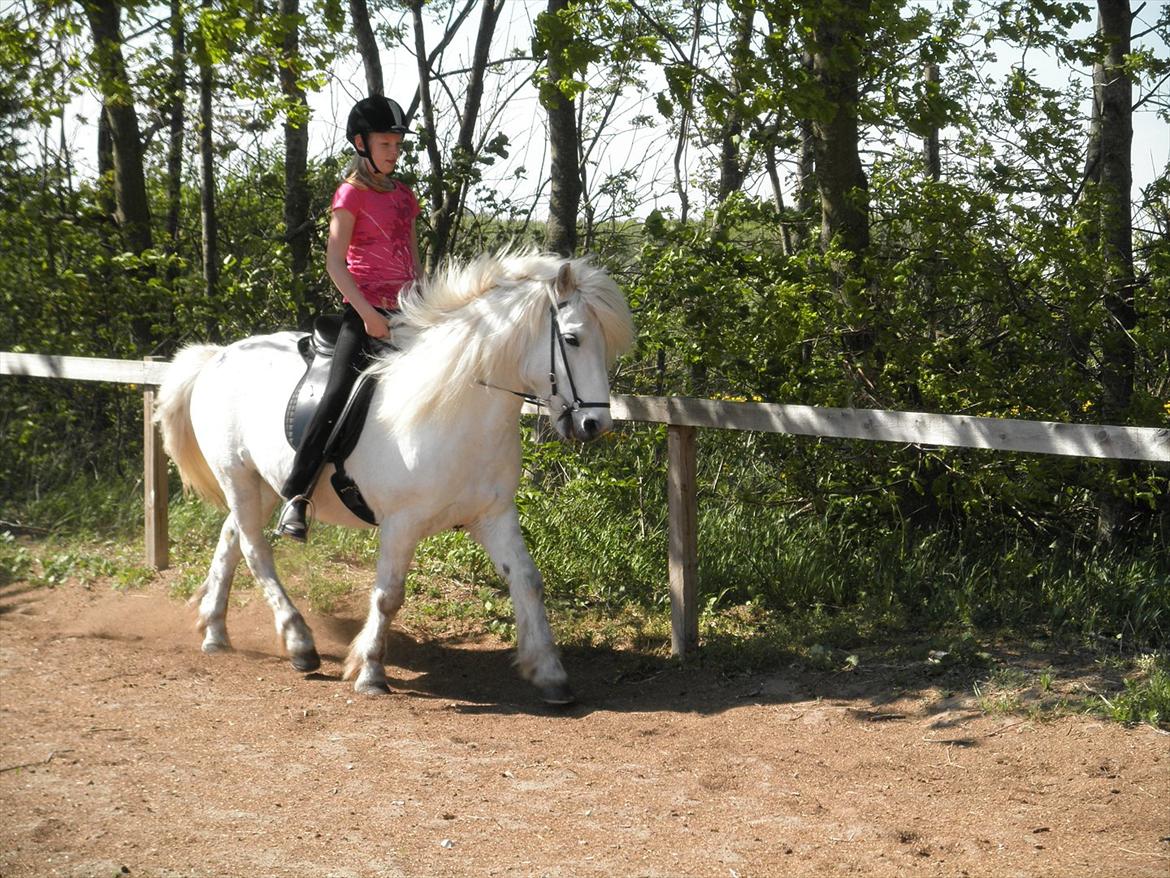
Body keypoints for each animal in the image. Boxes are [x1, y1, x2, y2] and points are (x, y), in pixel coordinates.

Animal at [159, 250, 636, 707]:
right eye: (572, 339)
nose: (595, 425)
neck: (455, 407)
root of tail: (218, 356)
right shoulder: (401, 524)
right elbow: (389, 594)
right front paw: (370, 671)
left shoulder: (493, 516)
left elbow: (528, 580)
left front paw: (550, 673)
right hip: (237, 475)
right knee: (256, 552)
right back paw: (299, 643)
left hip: (264, 484)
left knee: (232, 539)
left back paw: (215, 631)